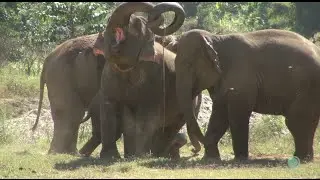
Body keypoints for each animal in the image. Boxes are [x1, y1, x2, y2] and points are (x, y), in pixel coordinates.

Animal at [97, 1, 204, 159]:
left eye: (135, 26)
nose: (155, 18)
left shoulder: (155, 78)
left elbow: (146, 116)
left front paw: (139, 156)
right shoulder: (109, 75)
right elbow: (110, 109)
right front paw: (111, 157)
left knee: (173, 124)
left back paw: (158, 154)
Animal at [174, 28, 320, 163]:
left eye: (189, 65)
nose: (193, 150)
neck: (216, 38)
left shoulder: (242, 78)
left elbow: (237, 115)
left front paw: (239, 159)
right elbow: (219, 115)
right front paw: (211, 158)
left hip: (309, 86)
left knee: (296, 120)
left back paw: (301, 158)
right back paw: (302, 158)